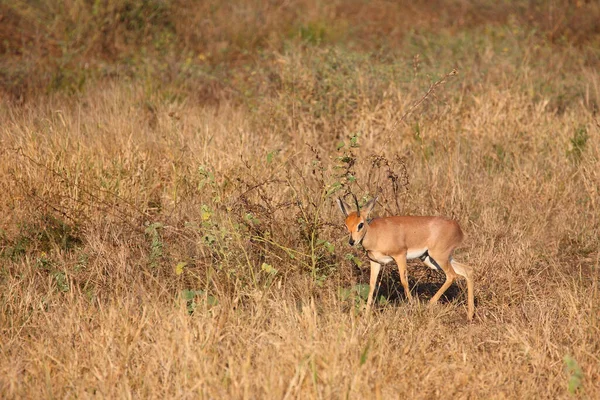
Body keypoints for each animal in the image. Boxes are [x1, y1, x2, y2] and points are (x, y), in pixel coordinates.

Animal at [338, 195, 474, 320]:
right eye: (346, 224)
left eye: (360, 224)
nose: (352, 242)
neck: (375, 233)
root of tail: (458, 228)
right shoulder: (375, 261)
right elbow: (372, 285)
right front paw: (366, 315)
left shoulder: (400, 256)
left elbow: (404, 281)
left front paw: (412, 306)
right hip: (432, 259)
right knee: (467, 270)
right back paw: (470, 315)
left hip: (439, 257)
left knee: (452, 276)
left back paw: (429, 304)